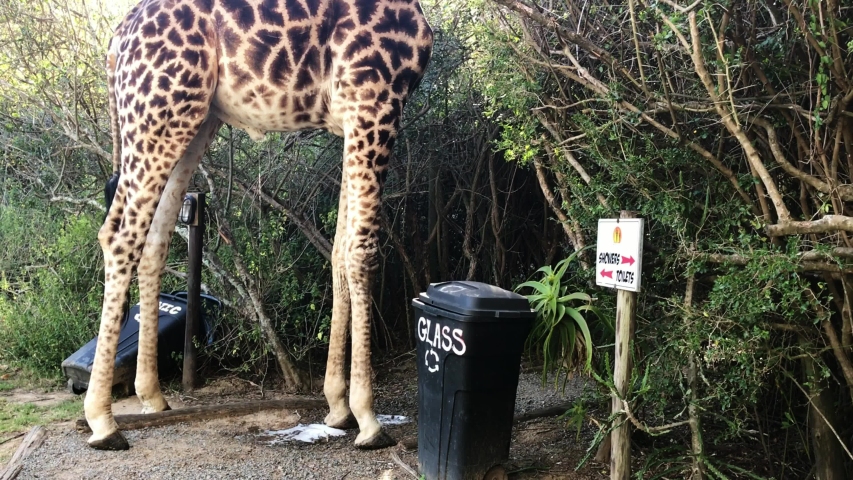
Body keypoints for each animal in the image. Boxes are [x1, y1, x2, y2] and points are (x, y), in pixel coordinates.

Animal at [84, 0, 433, 451]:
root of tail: (117, 38)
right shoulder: (374, 102)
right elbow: (362, 253)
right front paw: (368, 419)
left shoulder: (349, 122)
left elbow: (338, 251)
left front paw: (338, 407)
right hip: (160, 115)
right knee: (119, 236)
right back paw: (102, 422)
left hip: (189, 120)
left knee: (154, 239)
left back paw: (152, 396)